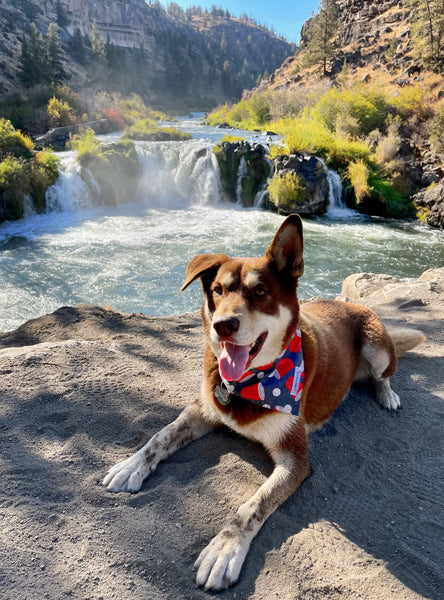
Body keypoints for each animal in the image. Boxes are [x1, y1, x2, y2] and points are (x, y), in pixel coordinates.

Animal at [102, 214, 424, 592]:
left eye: (259, 292)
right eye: (218, 291)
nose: (223, 325)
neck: (251, 382)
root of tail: (348, 301)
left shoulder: (295, 460)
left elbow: (252, 505)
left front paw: (224, 550)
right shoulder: (204, 408)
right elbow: (161, 436)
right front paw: (131, 465)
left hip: (377, 344)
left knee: (384, 374)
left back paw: (387, 394)